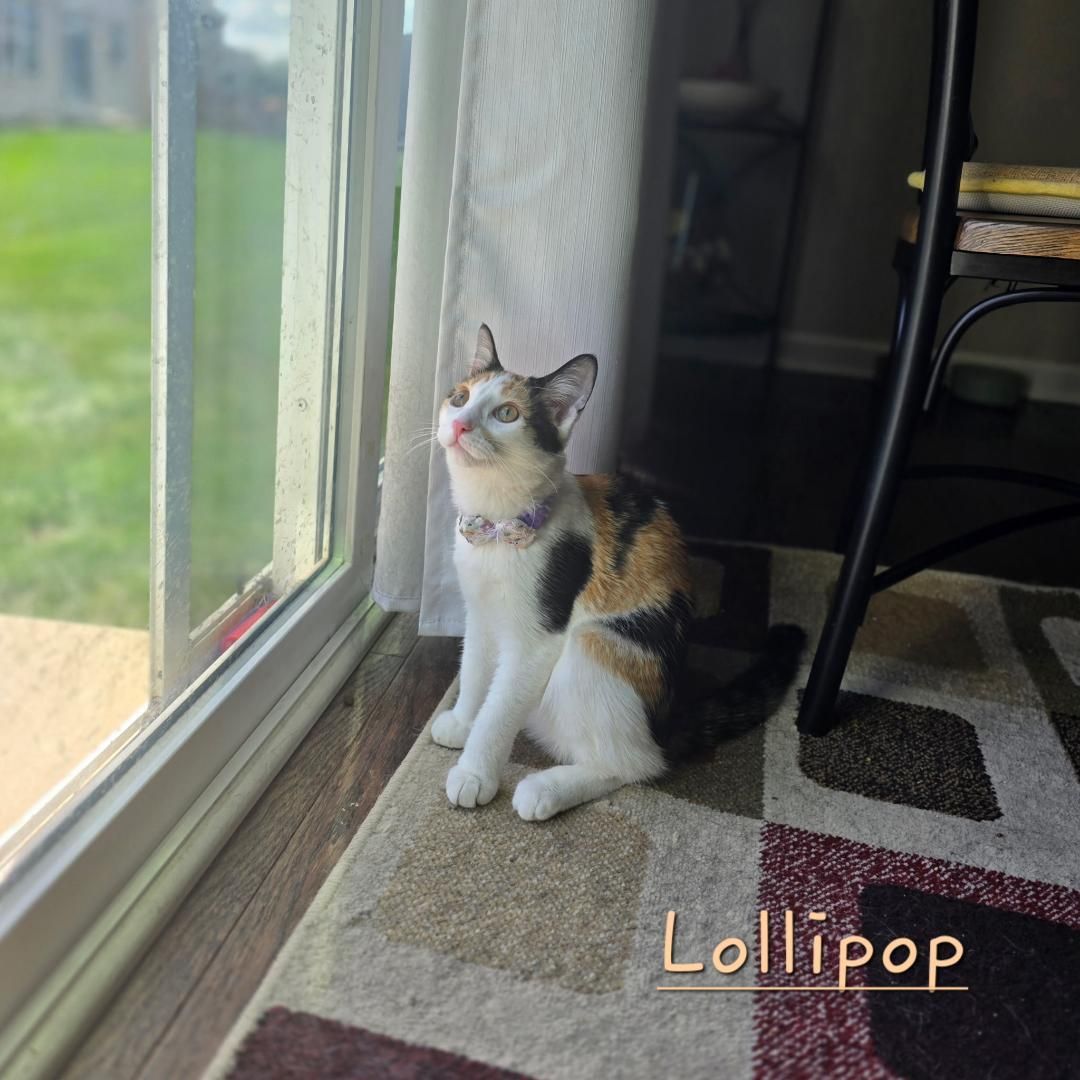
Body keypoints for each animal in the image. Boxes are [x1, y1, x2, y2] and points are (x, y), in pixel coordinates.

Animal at [431, 324, 804, 820]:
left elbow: (500, 709)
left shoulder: (538, 640)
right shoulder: (480, 614)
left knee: (633, 765)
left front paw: (474, 774)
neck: (496, 525)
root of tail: (663, 726)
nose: (458, 424)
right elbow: (473, 670)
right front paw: (461, 721)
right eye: (459, 398)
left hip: (595, 648)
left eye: (507, 413)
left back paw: (545, 790)